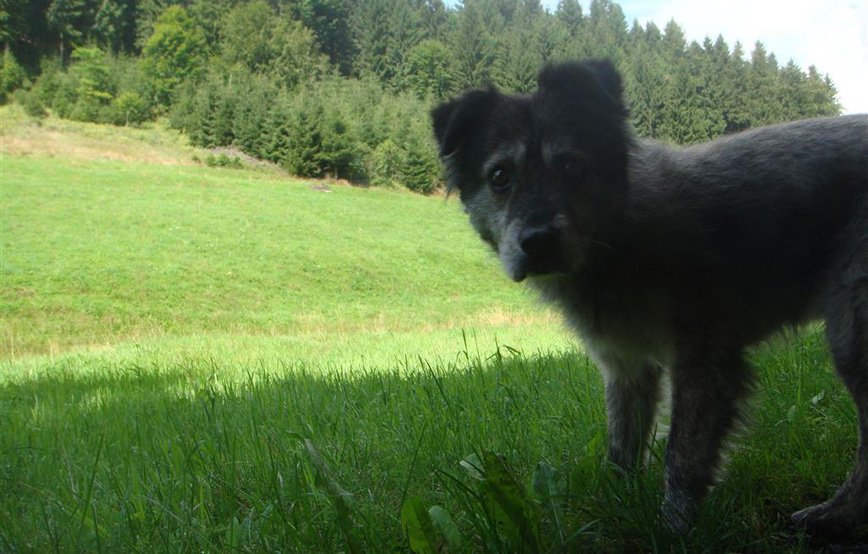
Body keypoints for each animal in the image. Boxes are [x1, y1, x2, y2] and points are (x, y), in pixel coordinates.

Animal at [430, 60, 868, 536]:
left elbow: (683, 456)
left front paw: (673, 529)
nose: (538, 241)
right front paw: (617, 508)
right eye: (499, 176)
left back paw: (835, 514)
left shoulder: (704, 360)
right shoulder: (626, 366)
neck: (617, 235)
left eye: (570, 166)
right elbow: (622, 446)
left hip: (851, 334)